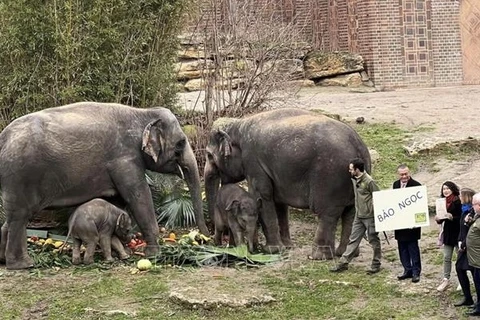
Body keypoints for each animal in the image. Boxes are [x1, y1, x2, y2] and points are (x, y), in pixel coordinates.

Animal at [0, 102, 207, 270]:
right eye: (181, 143)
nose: (205, 238)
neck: (142, 112)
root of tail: (3, 137)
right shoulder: (124, 159)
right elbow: (139, 197)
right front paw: (154, 255)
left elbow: (117, 202)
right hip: (20, 176)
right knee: (20, 217)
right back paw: (23, 265)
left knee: (11, 219)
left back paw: (4, 261)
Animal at [204, 109, 374, 258]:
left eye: (209, 155)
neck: (238, 124)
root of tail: (358, 147)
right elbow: (279, 202)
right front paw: (286, 247)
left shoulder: (253, 162)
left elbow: (263, 195)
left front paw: (271, 250)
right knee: (351, 212)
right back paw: (345, 254)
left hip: (330, 177)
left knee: (328, 213)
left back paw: (318, 256)